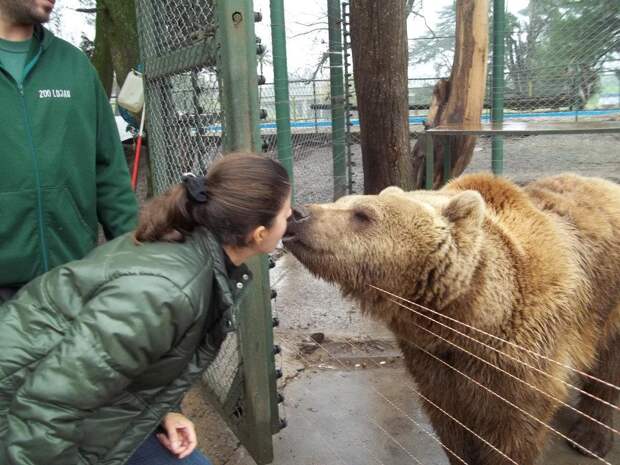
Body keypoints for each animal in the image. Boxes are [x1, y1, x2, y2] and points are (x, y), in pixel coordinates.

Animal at [282, 173, 620, 464]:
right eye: (343, 199)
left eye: (363, 214)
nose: (297, 213)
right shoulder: (433, 359)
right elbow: (451, 422)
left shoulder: (522, 354)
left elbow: (512, 428)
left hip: (608, 302)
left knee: (607, 366)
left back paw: (590, 439)